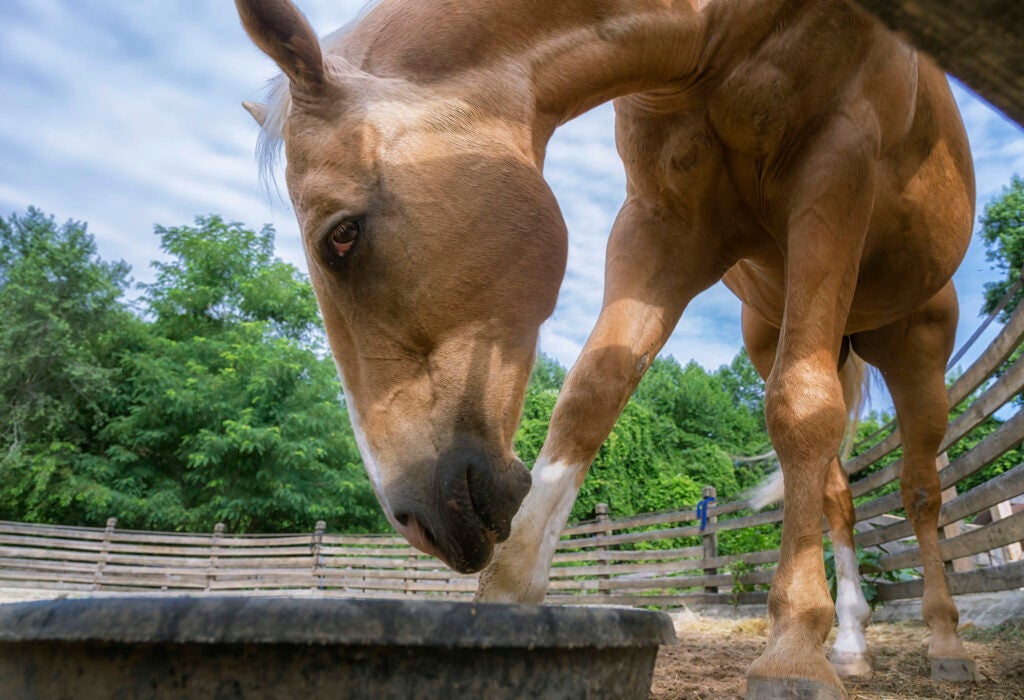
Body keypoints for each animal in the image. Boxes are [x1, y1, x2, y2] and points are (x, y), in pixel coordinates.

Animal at [235, 1, 978, 695]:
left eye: (342, 236)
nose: (415, 519)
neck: (720, 36)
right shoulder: (665, 223)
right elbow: (592, 396)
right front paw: (508, 602)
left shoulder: (836, 166)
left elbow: (800, 408)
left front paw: (793, 648)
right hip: (780, 331)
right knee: (835, 495)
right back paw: (850, 645)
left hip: (915, 347)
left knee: (919, 490)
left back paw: (943, 642)